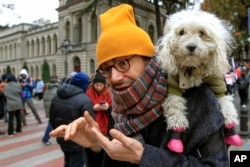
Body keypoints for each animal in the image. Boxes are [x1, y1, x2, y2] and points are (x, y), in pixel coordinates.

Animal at [156, 9, 242, 153]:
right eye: (181, 32)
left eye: (201, 33)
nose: (191, 46)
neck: (193, 68)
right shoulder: (174, 86)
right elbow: (175, 109)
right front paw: (175, 139)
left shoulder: (218, 84)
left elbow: (226, 104)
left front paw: (231, 131)